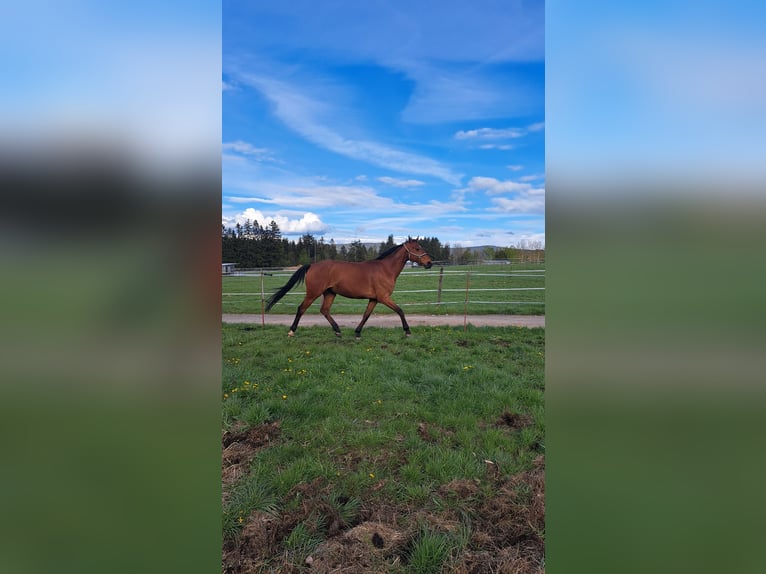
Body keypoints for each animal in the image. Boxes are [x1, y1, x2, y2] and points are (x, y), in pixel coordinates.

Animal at [266, 237, 436, 338]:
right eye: (417, 248)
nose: (429, 263)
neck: (385, 269)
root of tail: (312, 265)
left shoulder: (374, 299)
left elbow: (366, 315)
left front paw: (358, 332)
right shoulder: (384, 297)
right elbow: (400, 310)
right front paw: (407, 331)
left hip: (330, 293)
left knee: (324, 310)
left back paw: (338, 331)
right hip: (313, 293)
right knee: (301, 308)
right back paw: (291, 331)